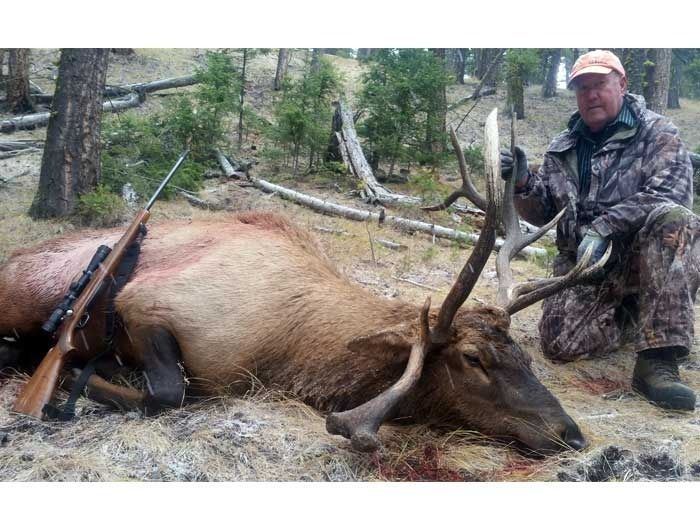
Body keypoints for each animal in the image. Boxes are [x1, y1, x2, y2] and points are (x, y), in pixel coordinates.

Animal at [0, 109, 608, 454]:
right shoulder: (148, 302)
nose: (572, 434)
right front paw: (74, 377)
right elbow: (171, 391)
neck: (288, 347)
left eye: (524, 355)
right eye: (474, 360)